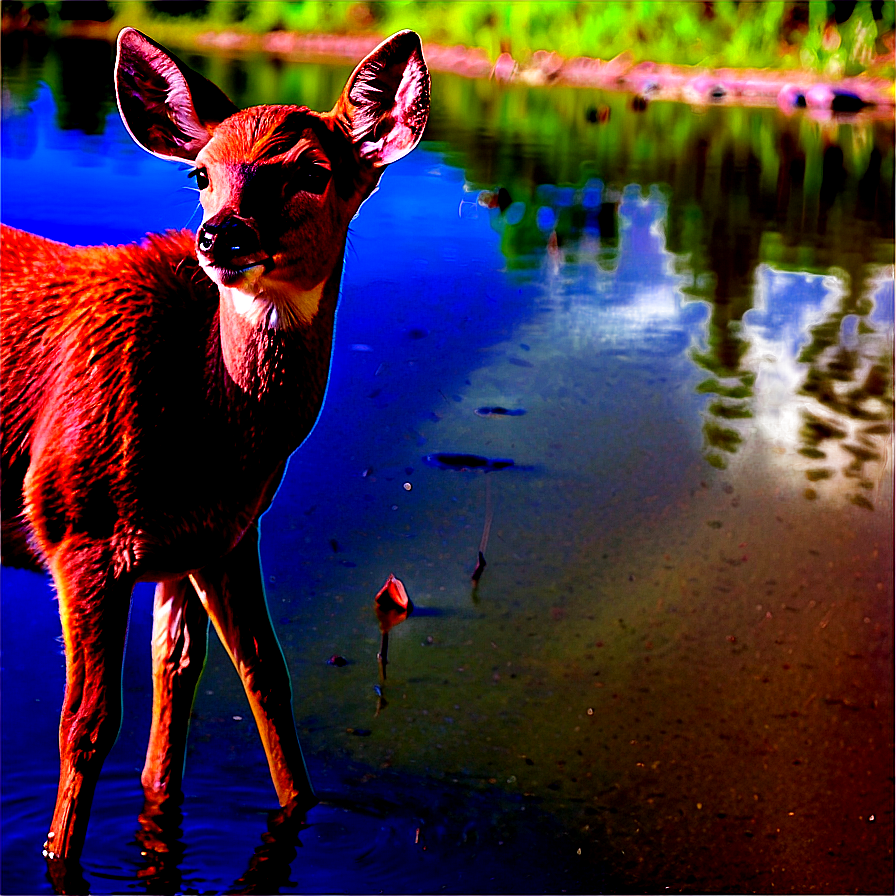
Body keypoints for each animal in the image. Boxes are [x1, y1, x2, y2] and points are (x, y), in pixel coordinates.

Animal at [0, 26, 430, 876]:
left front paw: (301, 808)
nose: (221, 234)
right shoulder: (77, 525)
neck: (202, 430)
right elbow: (87, 727)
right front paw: (60, 857)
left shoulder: (214, 539)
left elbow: (242, 683)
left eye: (312, 170)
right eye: (200, 172)